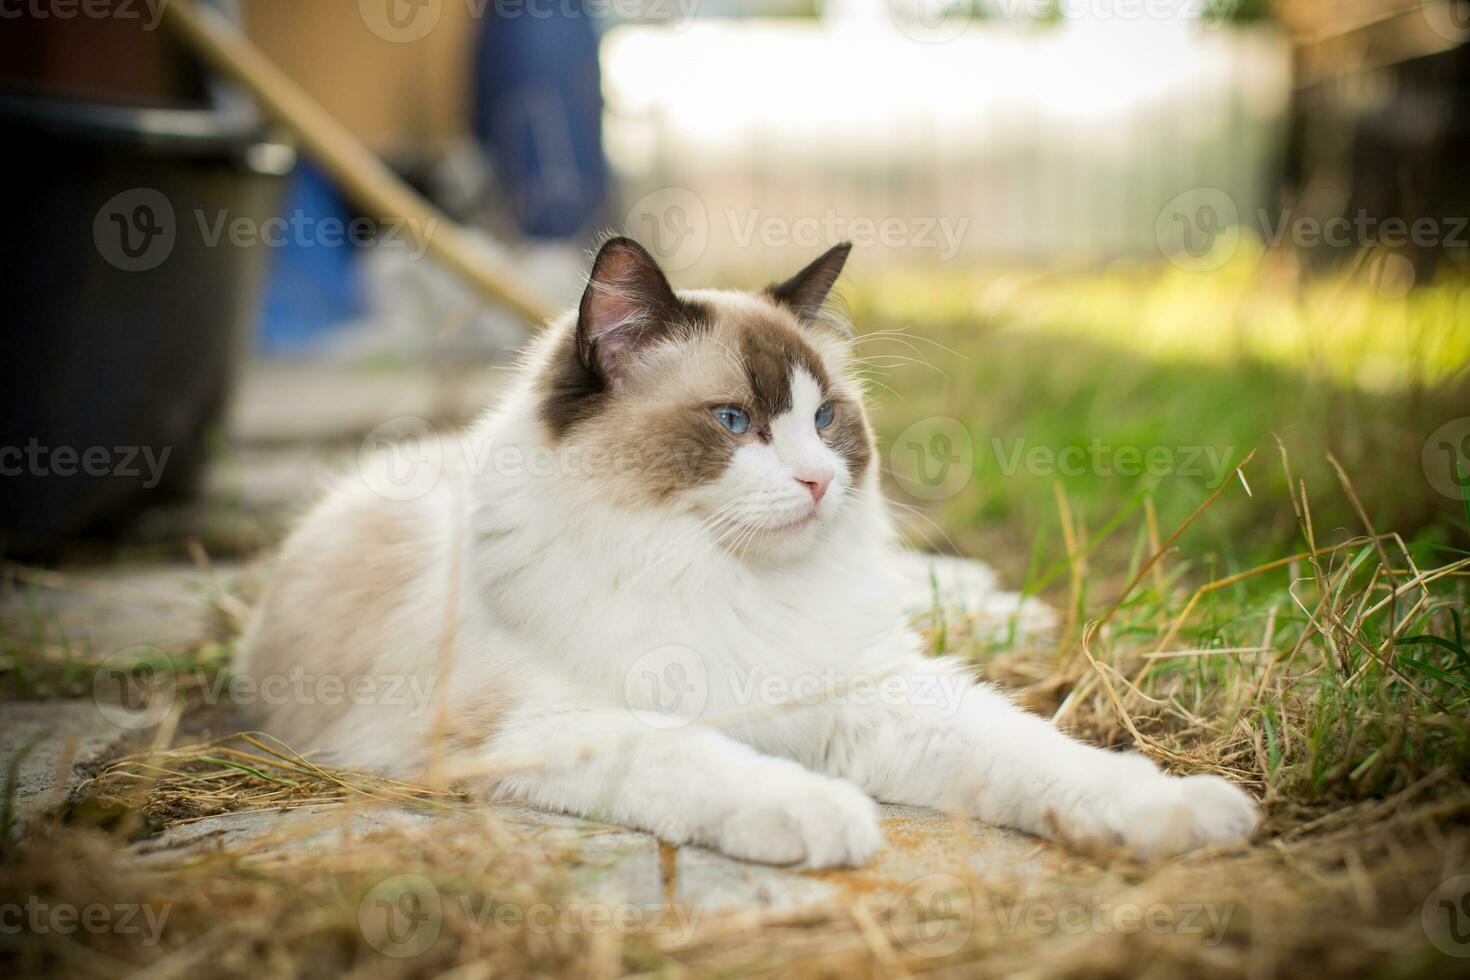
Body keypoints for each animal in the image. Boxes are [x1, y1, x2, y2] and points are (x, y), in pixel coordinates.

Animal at [235, 238, 1258, 863]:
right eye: (735, 423)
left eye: (825, 419)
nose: (818, 483)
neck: (723, 579)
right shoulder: (544, 725)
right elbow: (704, 760)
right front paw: (824, 815)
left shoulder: (876, 696)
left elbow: (1053, 762)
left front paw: (1187, 814)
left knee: (933, 587)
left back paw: (1010, 607)